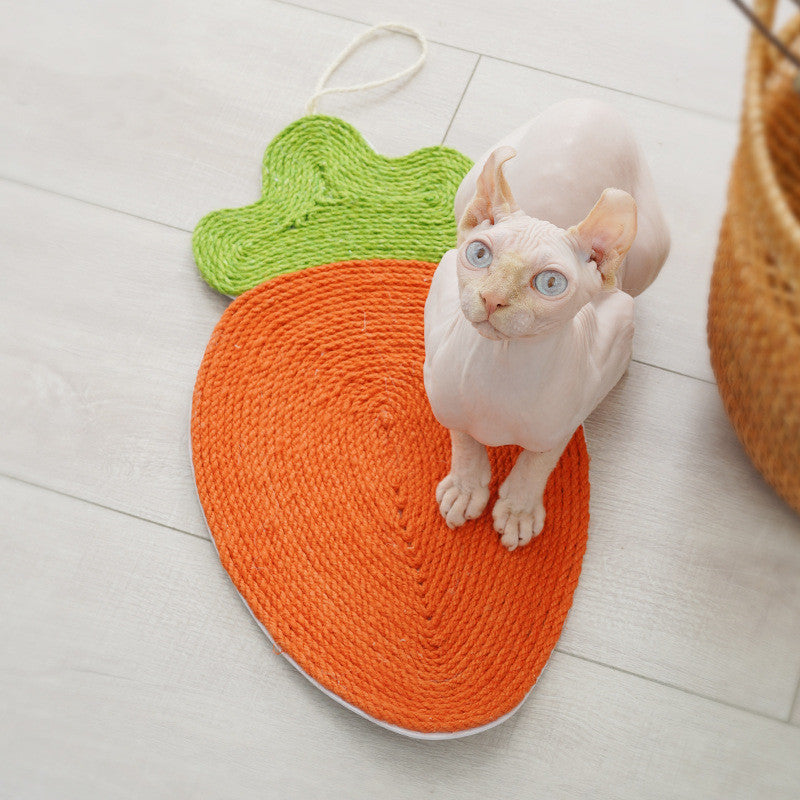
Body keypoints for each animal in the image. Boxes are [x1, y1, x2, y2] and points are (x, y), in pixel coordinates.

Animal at [424, 98, 668, 552]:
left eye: (550, 283)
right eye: (479, 254)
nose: (492, 298)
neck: (498, 366)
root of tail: (596, 101)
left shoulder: (614, 327)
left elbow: (544, 453)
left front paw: (518, 509)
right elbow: (461, 433)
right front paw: (466, 486)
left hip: (652, 251)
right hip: (466, 188)